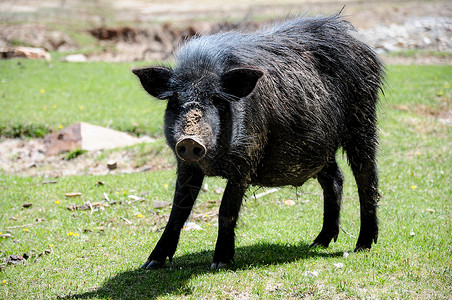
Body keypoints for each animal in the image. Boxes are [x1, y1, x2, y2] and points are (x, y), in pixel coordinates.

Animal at [132, 14, 384, 268]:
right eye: (175, 100)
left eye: (216, 99)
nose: (190, 140)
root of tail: (360, 44)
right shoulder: (186, 164)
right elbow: (178, 210)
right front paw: (151, 264)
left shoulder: (247, 157)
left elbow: (227, 208)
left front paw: (221, 263)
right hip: (316, 149)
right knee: (335, 179)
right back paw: (317, 243)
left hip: (363, 122)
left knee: (366, 178)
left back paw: (362, 246)